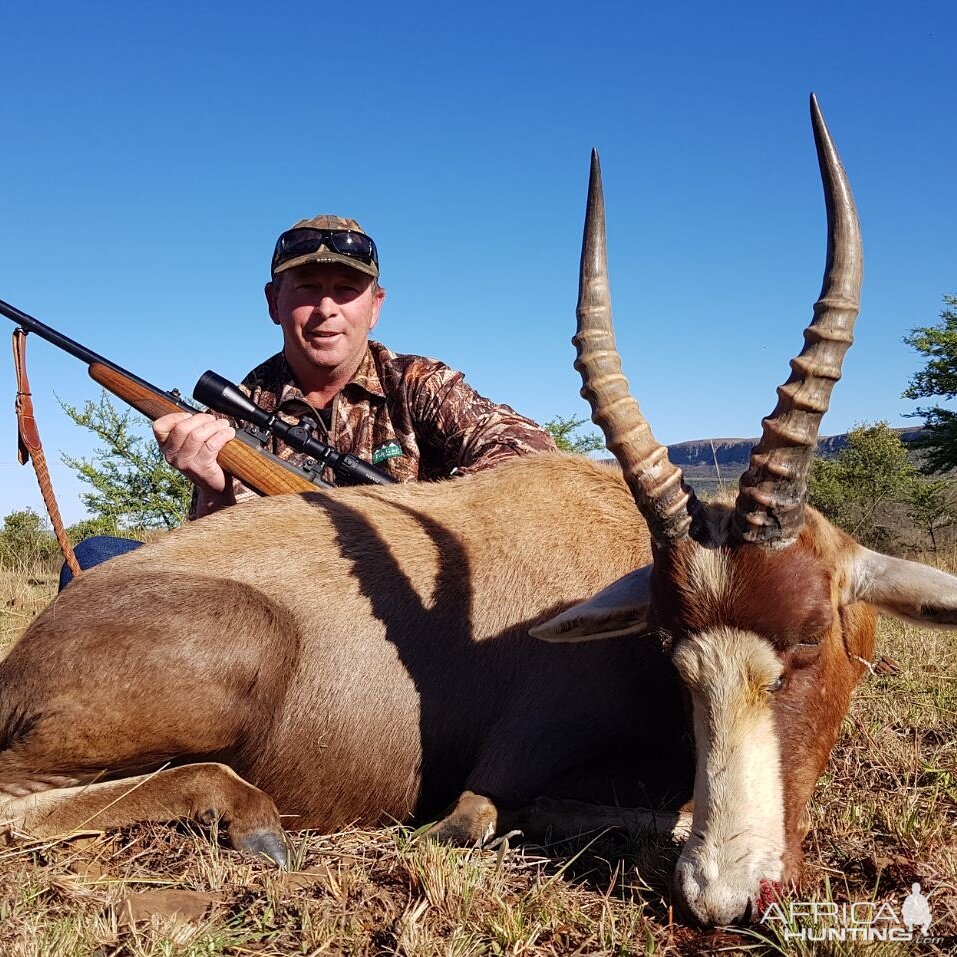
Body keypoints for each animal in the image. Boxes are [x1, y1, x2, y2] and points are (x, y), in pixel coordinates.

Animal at [1, 97, 956, 928]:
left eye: (809, 638)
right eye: (672, 654)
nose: (721, 898)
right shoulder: (498, 776)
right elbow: (509, 818)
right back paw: (256, 822)